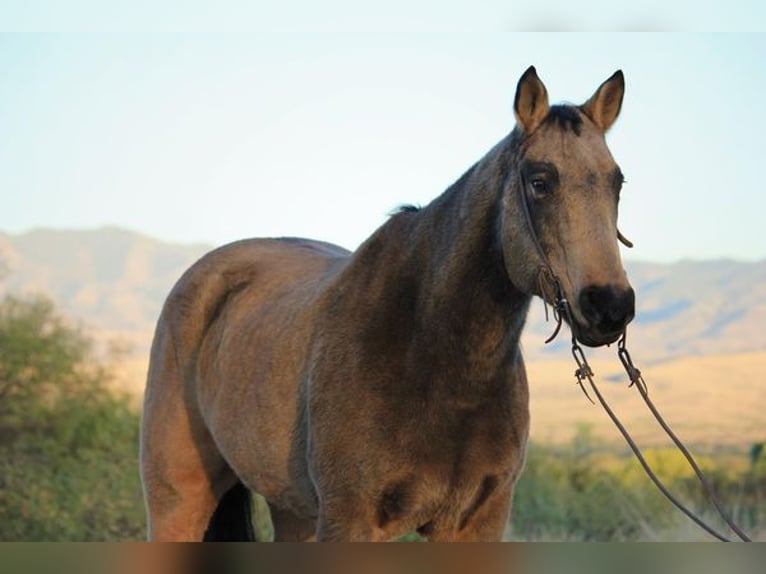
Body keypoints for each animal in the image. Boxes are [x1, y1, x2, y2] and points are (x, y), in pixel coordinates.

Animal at [141, 67, 640, 544]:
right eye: (540, 182)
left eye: (617, 182)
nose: (609, 305)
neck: (433, 355)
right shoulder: (351, 521)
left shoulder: (476, 523)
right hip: (179, 502)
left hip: (293, 510)